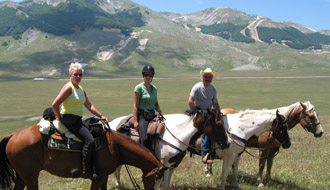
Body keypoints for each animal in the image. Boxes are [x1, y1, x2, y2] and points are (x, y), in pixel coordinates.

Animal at [0, 124, 165, 190]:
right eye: (156, 178)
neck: (115, 146)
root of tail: (13, 135)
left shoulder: (104, 176)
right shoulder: (98, 177)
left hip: (22, 176)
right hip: (31, 177)